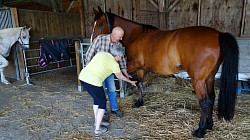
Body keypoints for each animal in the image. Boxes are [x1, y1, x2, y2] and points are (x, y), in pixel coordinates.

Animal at [91, 6, 238, 138]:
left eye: (100, 24)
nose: (93, 41)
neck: (136, 35)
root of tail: (218, 34)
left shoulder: (134, 64)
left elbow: (131, 78)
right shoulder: (141, 68)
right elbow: (140, 84)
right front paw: (139, 102)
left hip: (198, 80)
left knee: (205, 101)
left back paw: (200, 130)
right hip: (209, 77)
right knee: (212, 97)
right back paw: (209, 124)